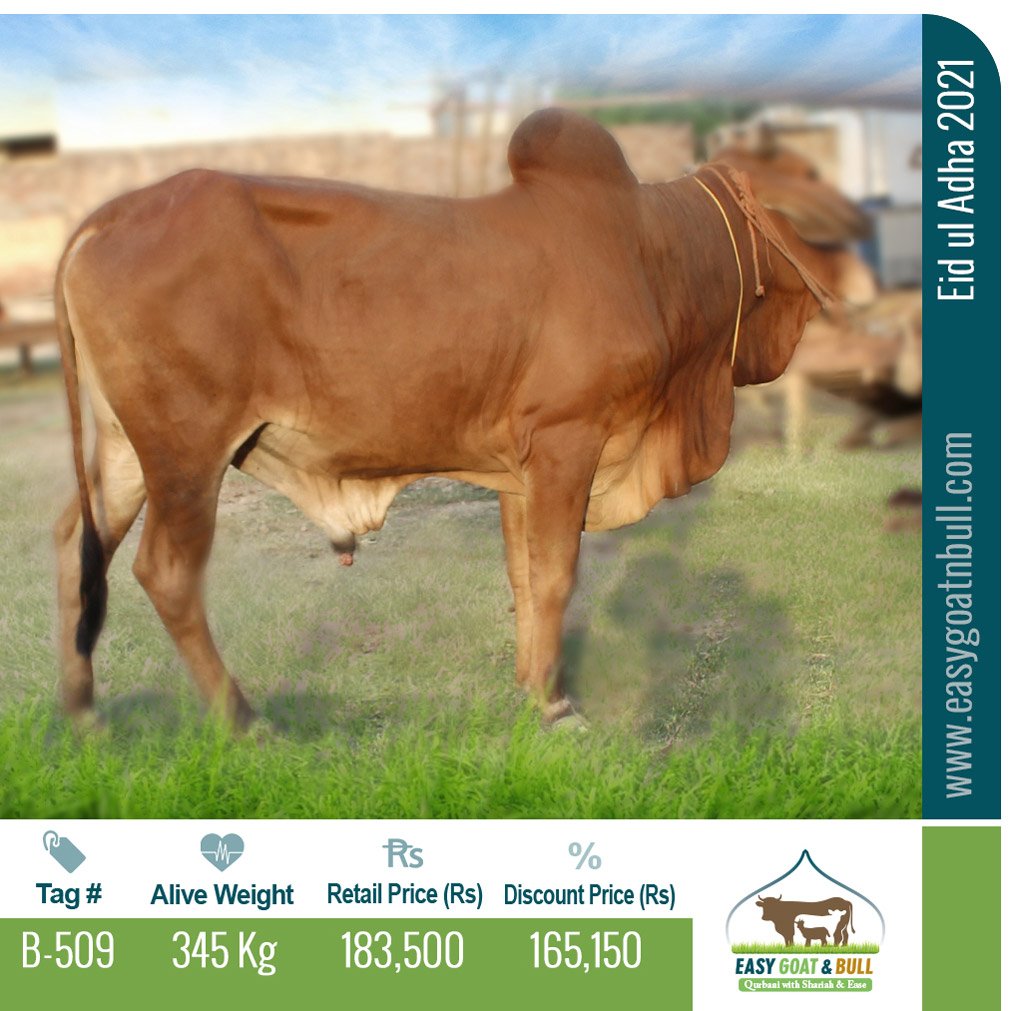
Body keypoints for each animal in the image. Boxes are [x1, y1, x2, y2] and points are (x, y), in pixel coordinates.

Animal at [54, 108, 863, 730]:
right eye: (806, 172)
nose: (861, 221)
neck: (655, 251)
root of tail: (106, 215)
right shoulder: (567, 441)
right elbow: (555, 575)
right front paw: (554, 706)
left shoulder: (520, 465)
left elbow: (522, 574)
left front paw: (532, 685)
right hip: (186, 451)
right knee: (165, 573)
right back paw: (243, 721)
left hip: (126, 450)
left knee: (75, 543)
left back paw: (81, 713)